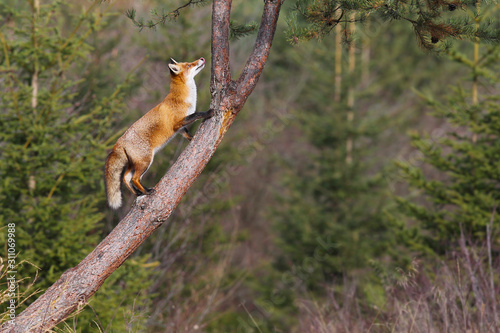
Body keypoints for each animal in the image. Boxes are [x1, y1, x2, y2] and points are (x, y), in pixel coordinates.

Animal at [105, 56, 213, 208]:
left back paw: (138, 193)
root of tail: (118, 142)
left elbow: (186, 133)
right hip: (146, 161)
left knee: (126, 178)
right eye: (188, 65)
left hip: (135, 163)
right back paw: (147, 191)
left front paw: (193, 138)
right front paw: (209, 112)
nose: (202, 58)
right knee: (134, 178)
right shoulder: (178, 122)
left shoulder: (179, 127)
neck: (182, 98)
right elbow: (197, 114)